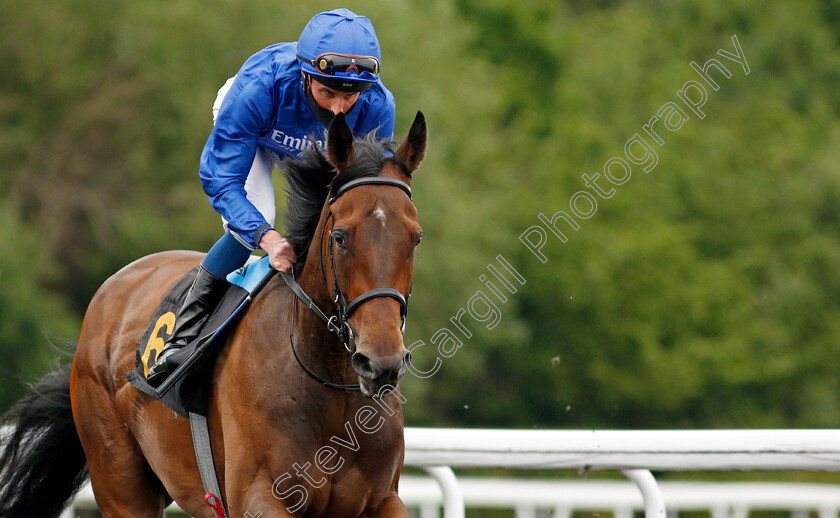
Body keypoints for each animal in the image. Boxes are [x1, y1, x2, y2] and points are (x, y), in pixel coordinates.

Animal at [1, 111, 426, 516]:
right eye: (340, 237)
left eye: (416, 237)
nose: (381, 362)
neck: (330, 380)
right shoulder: (258, 496)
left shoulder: (383, 499)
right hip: (120, 481)